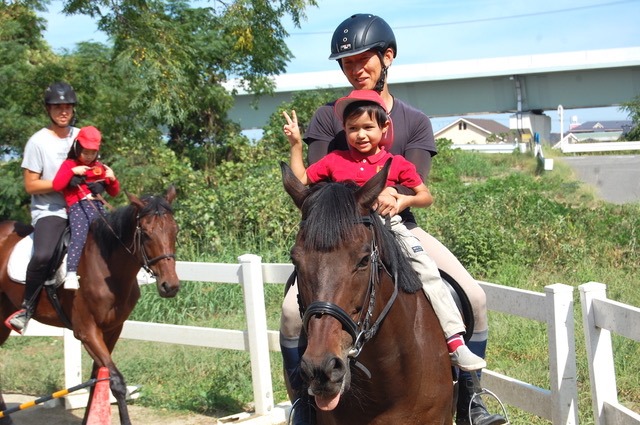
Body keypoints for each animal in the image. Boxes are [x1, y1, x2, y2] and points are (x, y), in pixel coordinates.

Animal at [0, 186, 180, 424]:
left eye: (175, 231)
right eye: (146, 233)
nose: (170, 286)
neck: (107, 268)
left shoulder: (111, 330)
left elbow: (98, 378)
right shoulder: (87, 332)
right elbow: (116, 382)